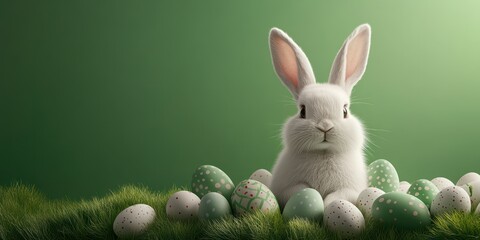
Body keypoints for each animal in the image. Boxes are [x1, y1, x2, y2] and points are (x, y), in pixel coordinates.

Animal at [270, 24, 372, 208]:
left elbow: (337, 196)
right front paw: (313, 196)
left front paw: (329, 205)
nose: (325, 127)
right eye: (302, 111)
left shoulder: (350, 190)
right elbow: (301, 189)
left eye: (345, 111)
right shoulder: (284, 189)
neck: (323, 153)